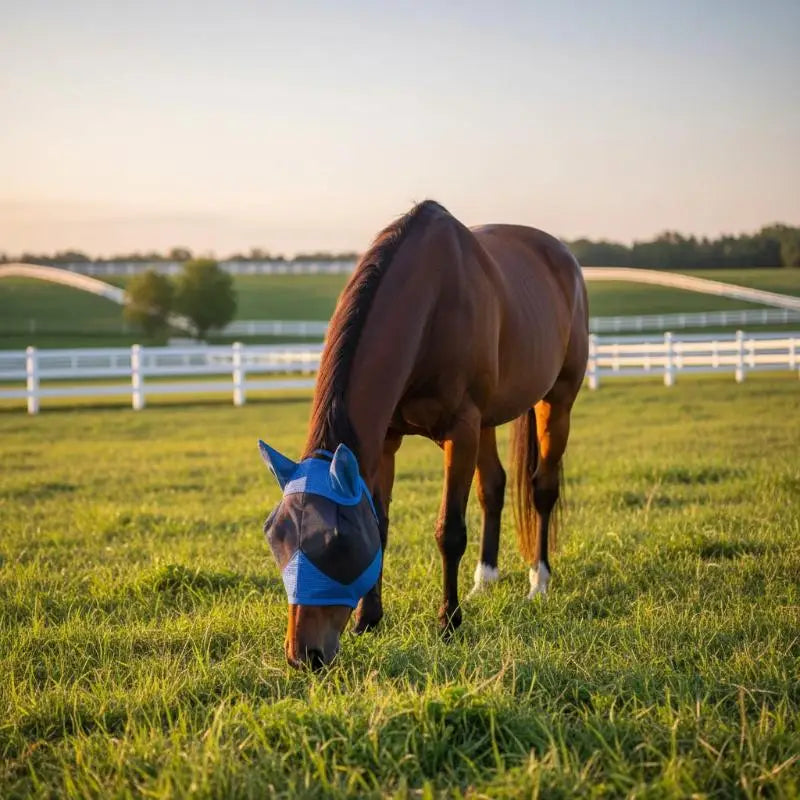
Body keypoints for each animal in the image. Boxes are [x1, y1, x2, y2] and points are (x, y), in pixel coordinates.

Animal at [259, 200, 588, 669]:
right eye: (276, 537)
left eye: (335, 542)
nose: (304, 655)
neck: (432, 304)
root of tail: (564, 258)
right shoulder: (386, 441)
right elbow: (380, 524)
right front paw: (368, 619)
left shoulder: (461, 432)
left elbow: (449, 531)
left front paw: (448, 622)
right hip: (489, 421)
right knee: (494, 488)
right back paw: (484, 580)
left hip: (556, 402)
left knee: (543, 489)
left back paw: (538, 582)